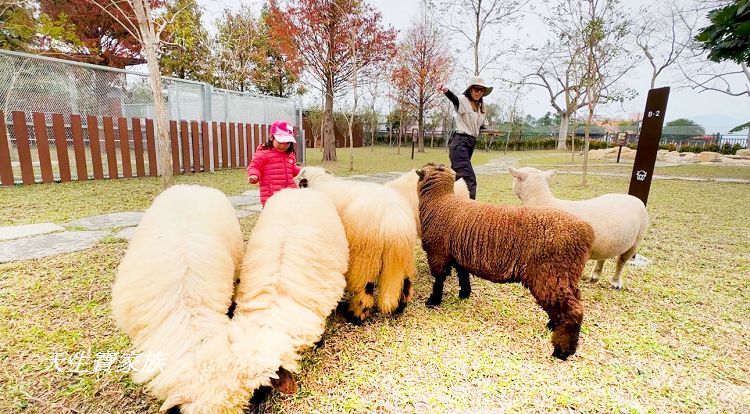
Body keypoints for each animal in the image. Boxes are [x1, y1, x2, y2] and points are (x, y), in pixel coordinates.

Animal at [296, 166, 418, 324]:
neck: (320, 182)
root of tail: (393, 219)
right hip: (403, 257)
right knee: (405, 284)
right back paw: (399, 308)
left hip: (365, 258)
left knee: (365, 290)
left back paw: (354, 316)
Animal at [414, 163, 596, 360]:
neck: (439, 200)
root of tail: (586, 232)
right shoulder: (458, 254)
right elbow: (463, 273)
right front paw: (464, 293)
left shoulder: (437, 252)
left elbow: (439, 279)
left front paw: (433, 301)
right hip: (567, 275)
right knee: (572, 302)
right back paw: (553, 326)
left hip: (550, 274)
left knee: (573, 310)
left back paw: (562, 350)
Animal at [512, 167, 652, 290]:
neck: (543, 202)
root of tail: (636, 199)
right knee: (604, 257)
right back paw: (595, 276)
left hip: (636, 241)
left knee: (621, 261)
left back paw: (616, 282)